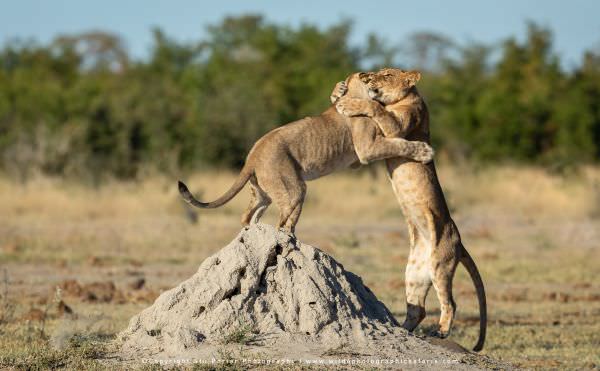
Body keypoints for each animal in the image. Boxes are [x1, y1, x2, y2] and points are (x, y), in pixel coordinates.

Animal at [176, 73, 434, 234]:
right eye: (374, 75)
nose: (374, 81)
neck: (356, 93)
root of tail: (253, 154)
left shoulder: (359, 157)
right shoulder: (366, 150)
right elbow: (399, 143)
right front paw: (424, 152)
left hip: (262, 192)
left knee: (248, 216)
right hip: (293, 188)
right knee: (284, 221)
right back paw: (286, 239)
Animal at [332, 69, 488, 352]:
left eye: (386, 74)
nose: (368, 78)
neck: (403, 99)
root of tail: (460, 243)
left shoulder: (399, 125)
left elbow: (375, 108)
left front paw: (348, 104)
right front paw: (338, 91)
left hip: (441, 264)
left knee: (450, 302)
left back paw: (441, 331)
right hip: (414, 273)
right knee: (418, 309)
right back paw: (401, 330)